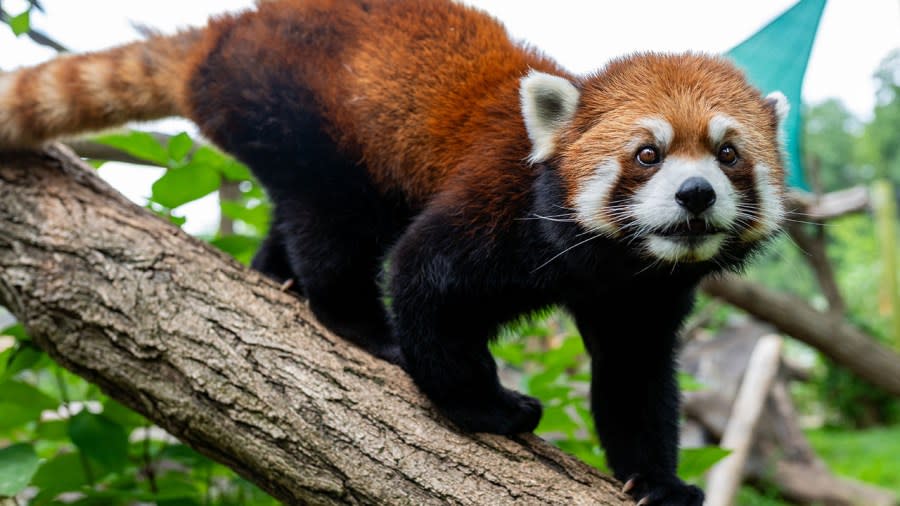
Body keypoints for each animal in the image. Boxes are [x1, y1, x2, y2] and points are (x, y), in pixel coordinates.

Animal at [0, 1, 788, 504]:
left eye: (727, 154)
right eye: (648, 154)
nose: (695, 194)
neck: (614, 262)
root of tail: (227, 30)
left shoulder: (641, 296)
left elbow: (634, 380)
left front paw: (657, 483)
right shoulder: (499, 211)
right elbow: (424, 283)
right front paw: (484, 406)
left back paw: (276, 278)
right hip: (299, 115)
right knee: (335, 225)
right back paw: (354, 323)